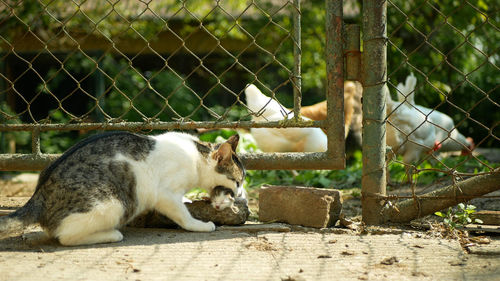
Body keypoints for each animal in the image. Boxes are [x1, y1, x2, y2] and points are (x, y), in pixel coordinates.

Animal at [0, 130, 246, 244]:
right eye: (237, 182)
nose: (240, 193)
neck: (197, 155)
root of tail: (38, 195)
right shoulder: (165, 194)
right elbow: (182, 215)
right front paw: (200, 225)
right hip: (114, 203)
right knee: (65, 236)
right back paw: (111, 234)